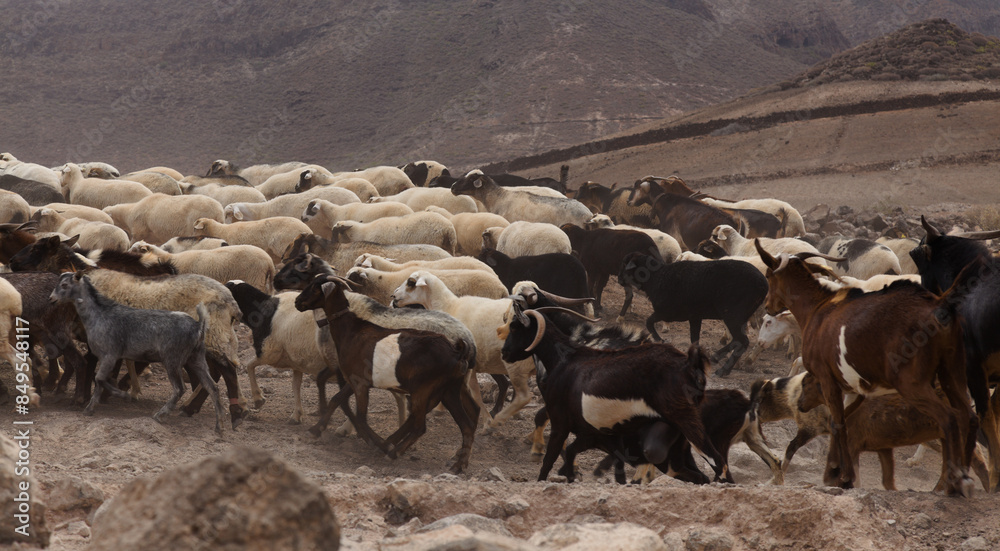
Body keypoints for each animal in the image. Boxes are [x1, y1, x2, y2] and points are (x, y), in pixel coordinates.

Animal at [50, 272, 225, 433]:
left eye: (64, 285)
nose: (51, 299)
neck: (98, 315)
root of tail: (198, 326)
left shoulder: (110, 355)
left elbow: (99, 378)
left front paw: (123, 395)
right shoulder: (108, 358)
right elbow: (99, 381)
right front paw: (90, 409)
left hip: (172, 360)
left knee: (179, 388)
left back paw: (160, 415)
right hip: (196, 358)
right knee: (213, 387)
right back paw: (219, 427)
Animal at [390, 271, 537, 431]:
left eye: (410, 282)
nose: (393, 296)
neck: (449, 306)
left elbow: (474, 392)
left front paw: (487, 423)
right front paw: (440, 409)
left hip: (515, 363)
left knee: (522, 395)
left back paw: (500, 419)